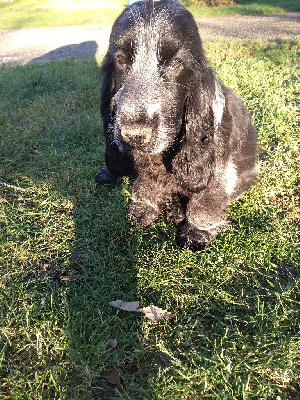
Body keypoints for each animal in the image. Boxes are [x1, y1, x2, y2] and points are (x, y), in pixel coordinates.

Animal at [97, 0, 256, 250]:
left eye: (175, 63)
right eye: (121, 60)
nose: (133, 135)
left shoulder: (219, 166)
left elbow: (206, 199)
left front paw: (198, 230)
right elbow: (146, 181)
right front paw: (143, 208)